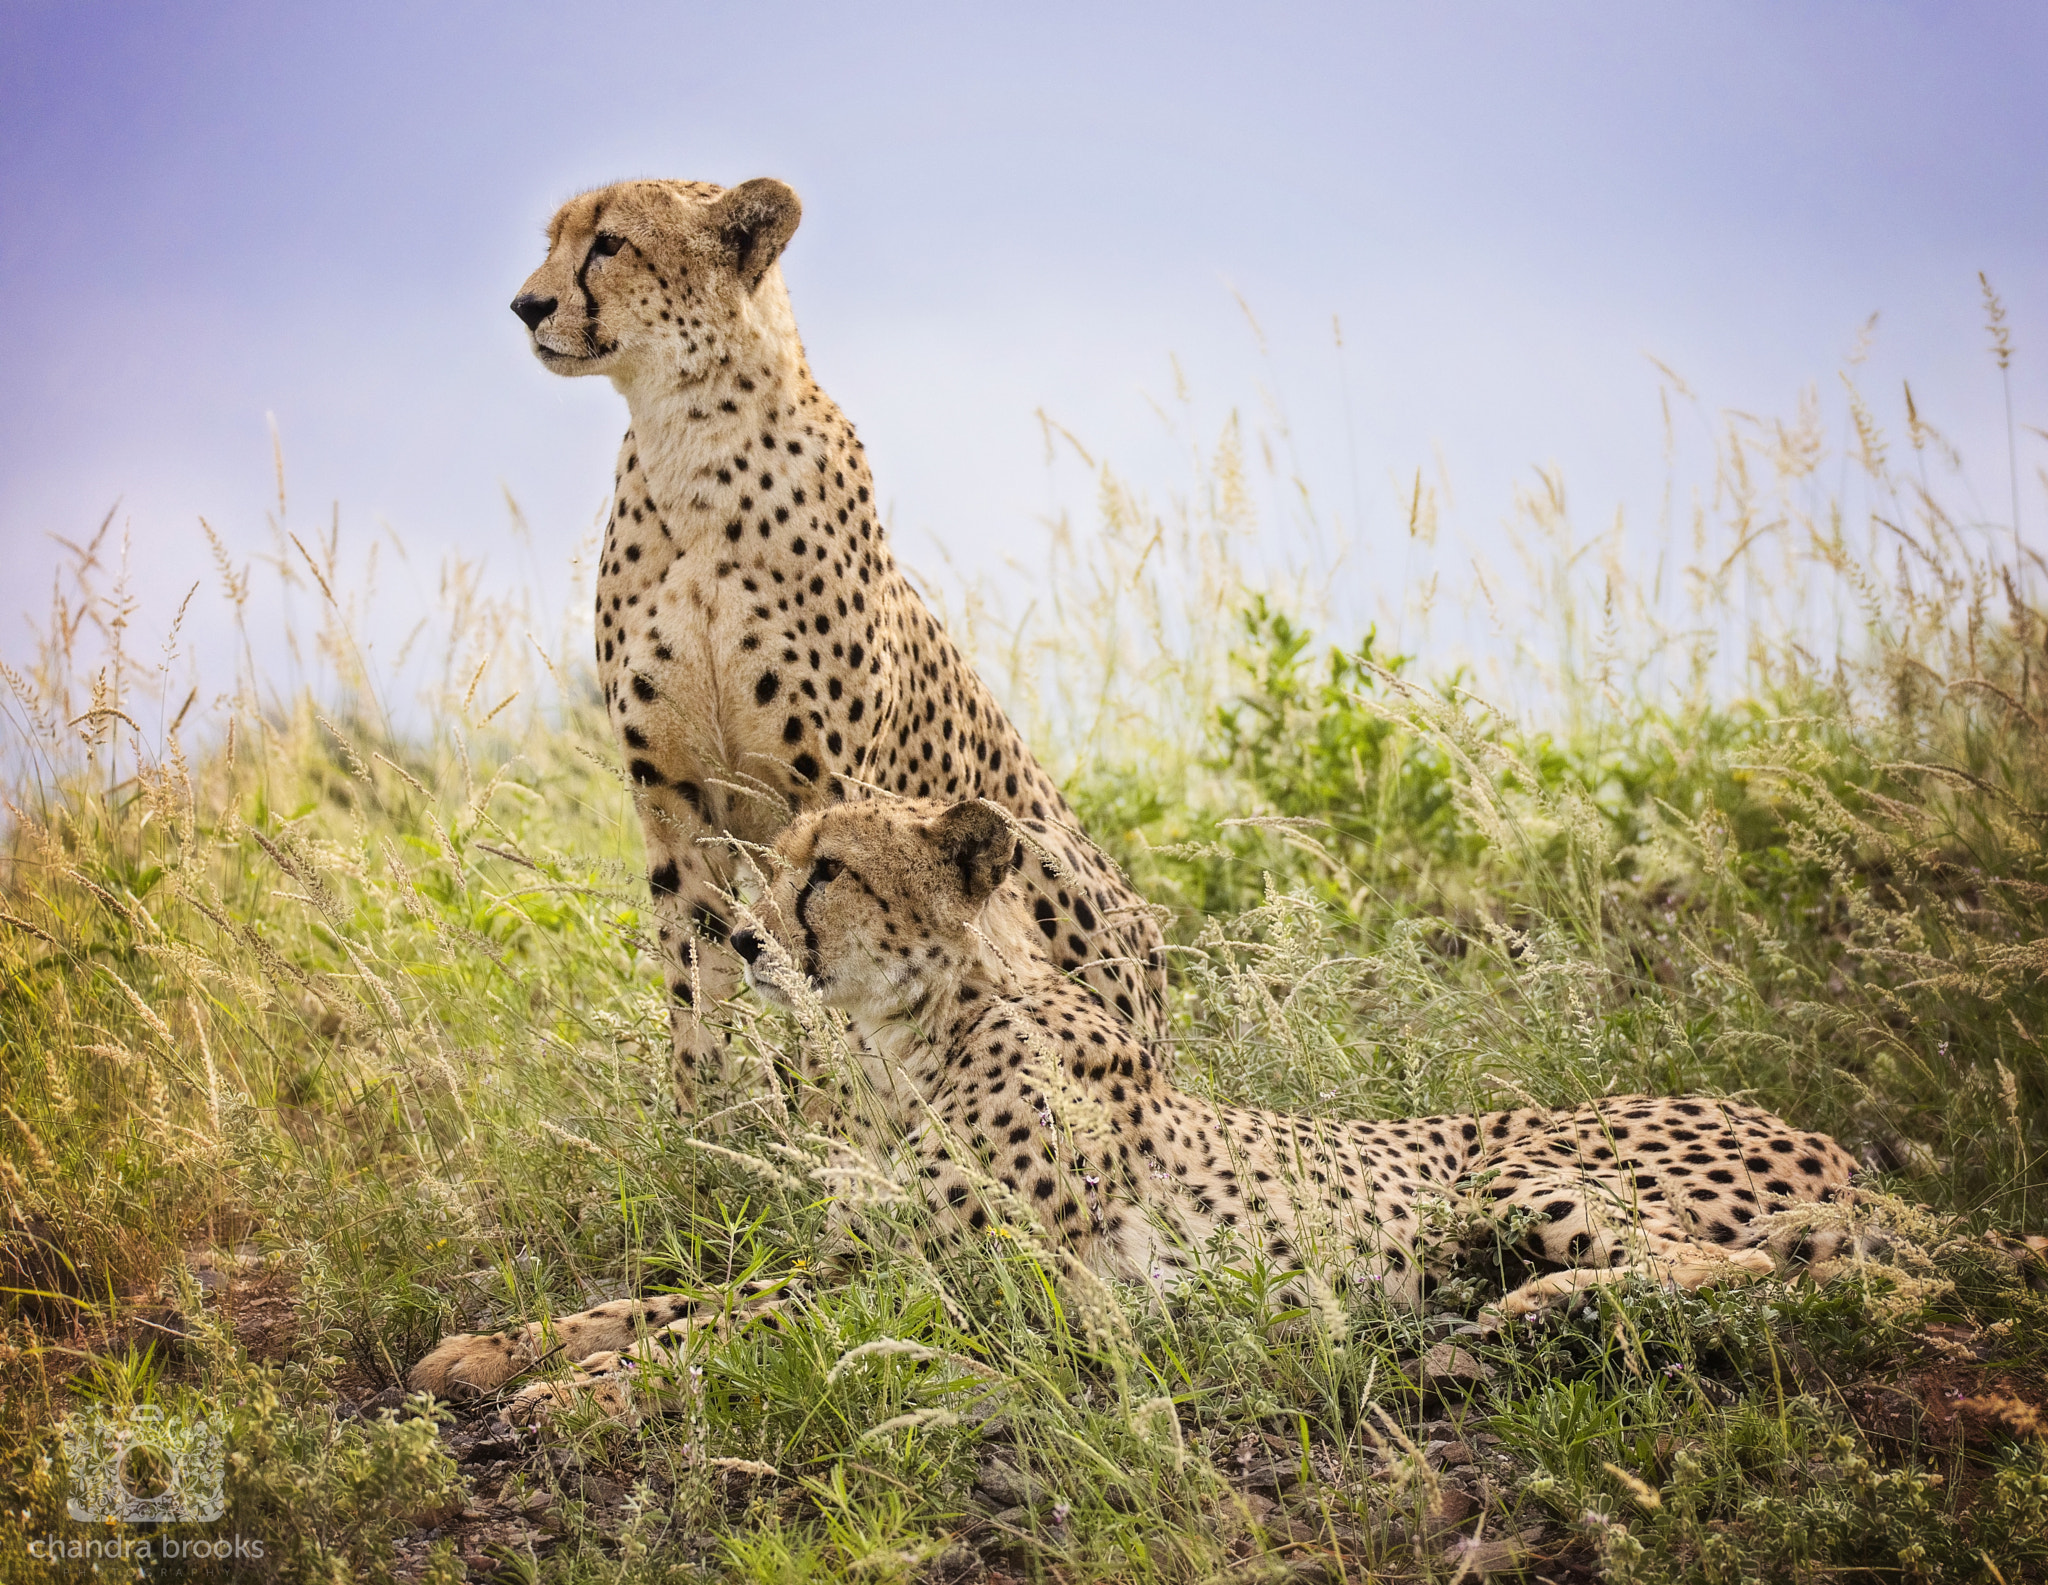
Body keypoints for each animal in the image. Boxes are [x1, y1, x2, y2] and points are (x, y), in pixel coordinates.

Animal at [408, 797, 1867, 1413]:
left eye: (828, 870)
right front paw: (495, 1352)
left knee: (1761, 1274)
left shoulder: (1007, 1290)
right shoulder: (870, 1255)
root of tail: (1830, 1144)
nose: (747, 937)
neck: (920, 1039)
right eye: (780, 860)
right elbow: (665, 1300)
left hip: (1525, 1177)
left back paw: (1515, 1319)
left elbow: (740, 1331)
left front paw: (584, 1398)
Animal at [508, 176, 1167, 1113]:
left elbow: (819, 961)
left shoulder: (824, 784)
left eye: (609, 243)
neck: (691, 442)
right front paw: (703, 1118)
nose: (526, 305)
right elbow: (693, 964)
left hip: (1045, 851)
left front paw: (825, 1115)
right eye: (554, 241)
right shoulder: (670, 794)